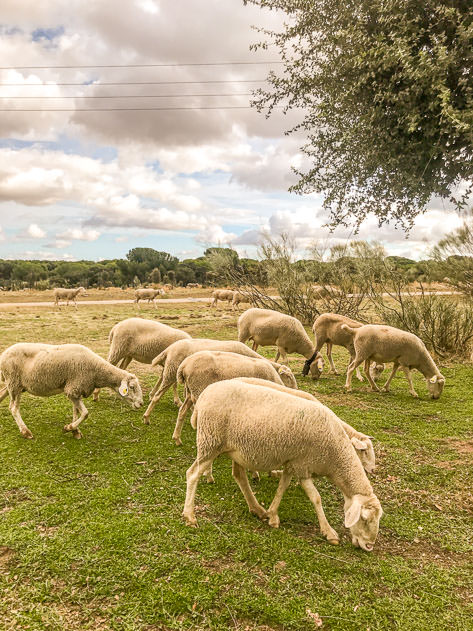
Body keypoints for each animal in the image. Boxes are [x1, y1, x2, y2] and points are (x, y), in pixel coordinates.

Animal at [0, 344, 142, 442]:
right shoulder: (72, 388)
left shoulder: (75, 390)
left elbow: (76, 411)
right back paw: (25, 432)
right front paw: (68, 428)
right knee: (13, 408)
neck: (97, 371)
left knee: (3, 395)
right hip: (14, 383)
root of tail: (3, 354)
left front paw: (75, 431)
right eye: (132, 387)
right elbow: (85, 413)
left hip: (14, 384)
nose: (141, 404)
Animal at [141, 338, 288, 422]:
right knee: (160, 392)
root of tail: (169, 349)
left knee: (163, 380)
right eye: (288, 376)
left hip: (171, 369)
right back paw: (148, 415)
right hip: (172, 370)